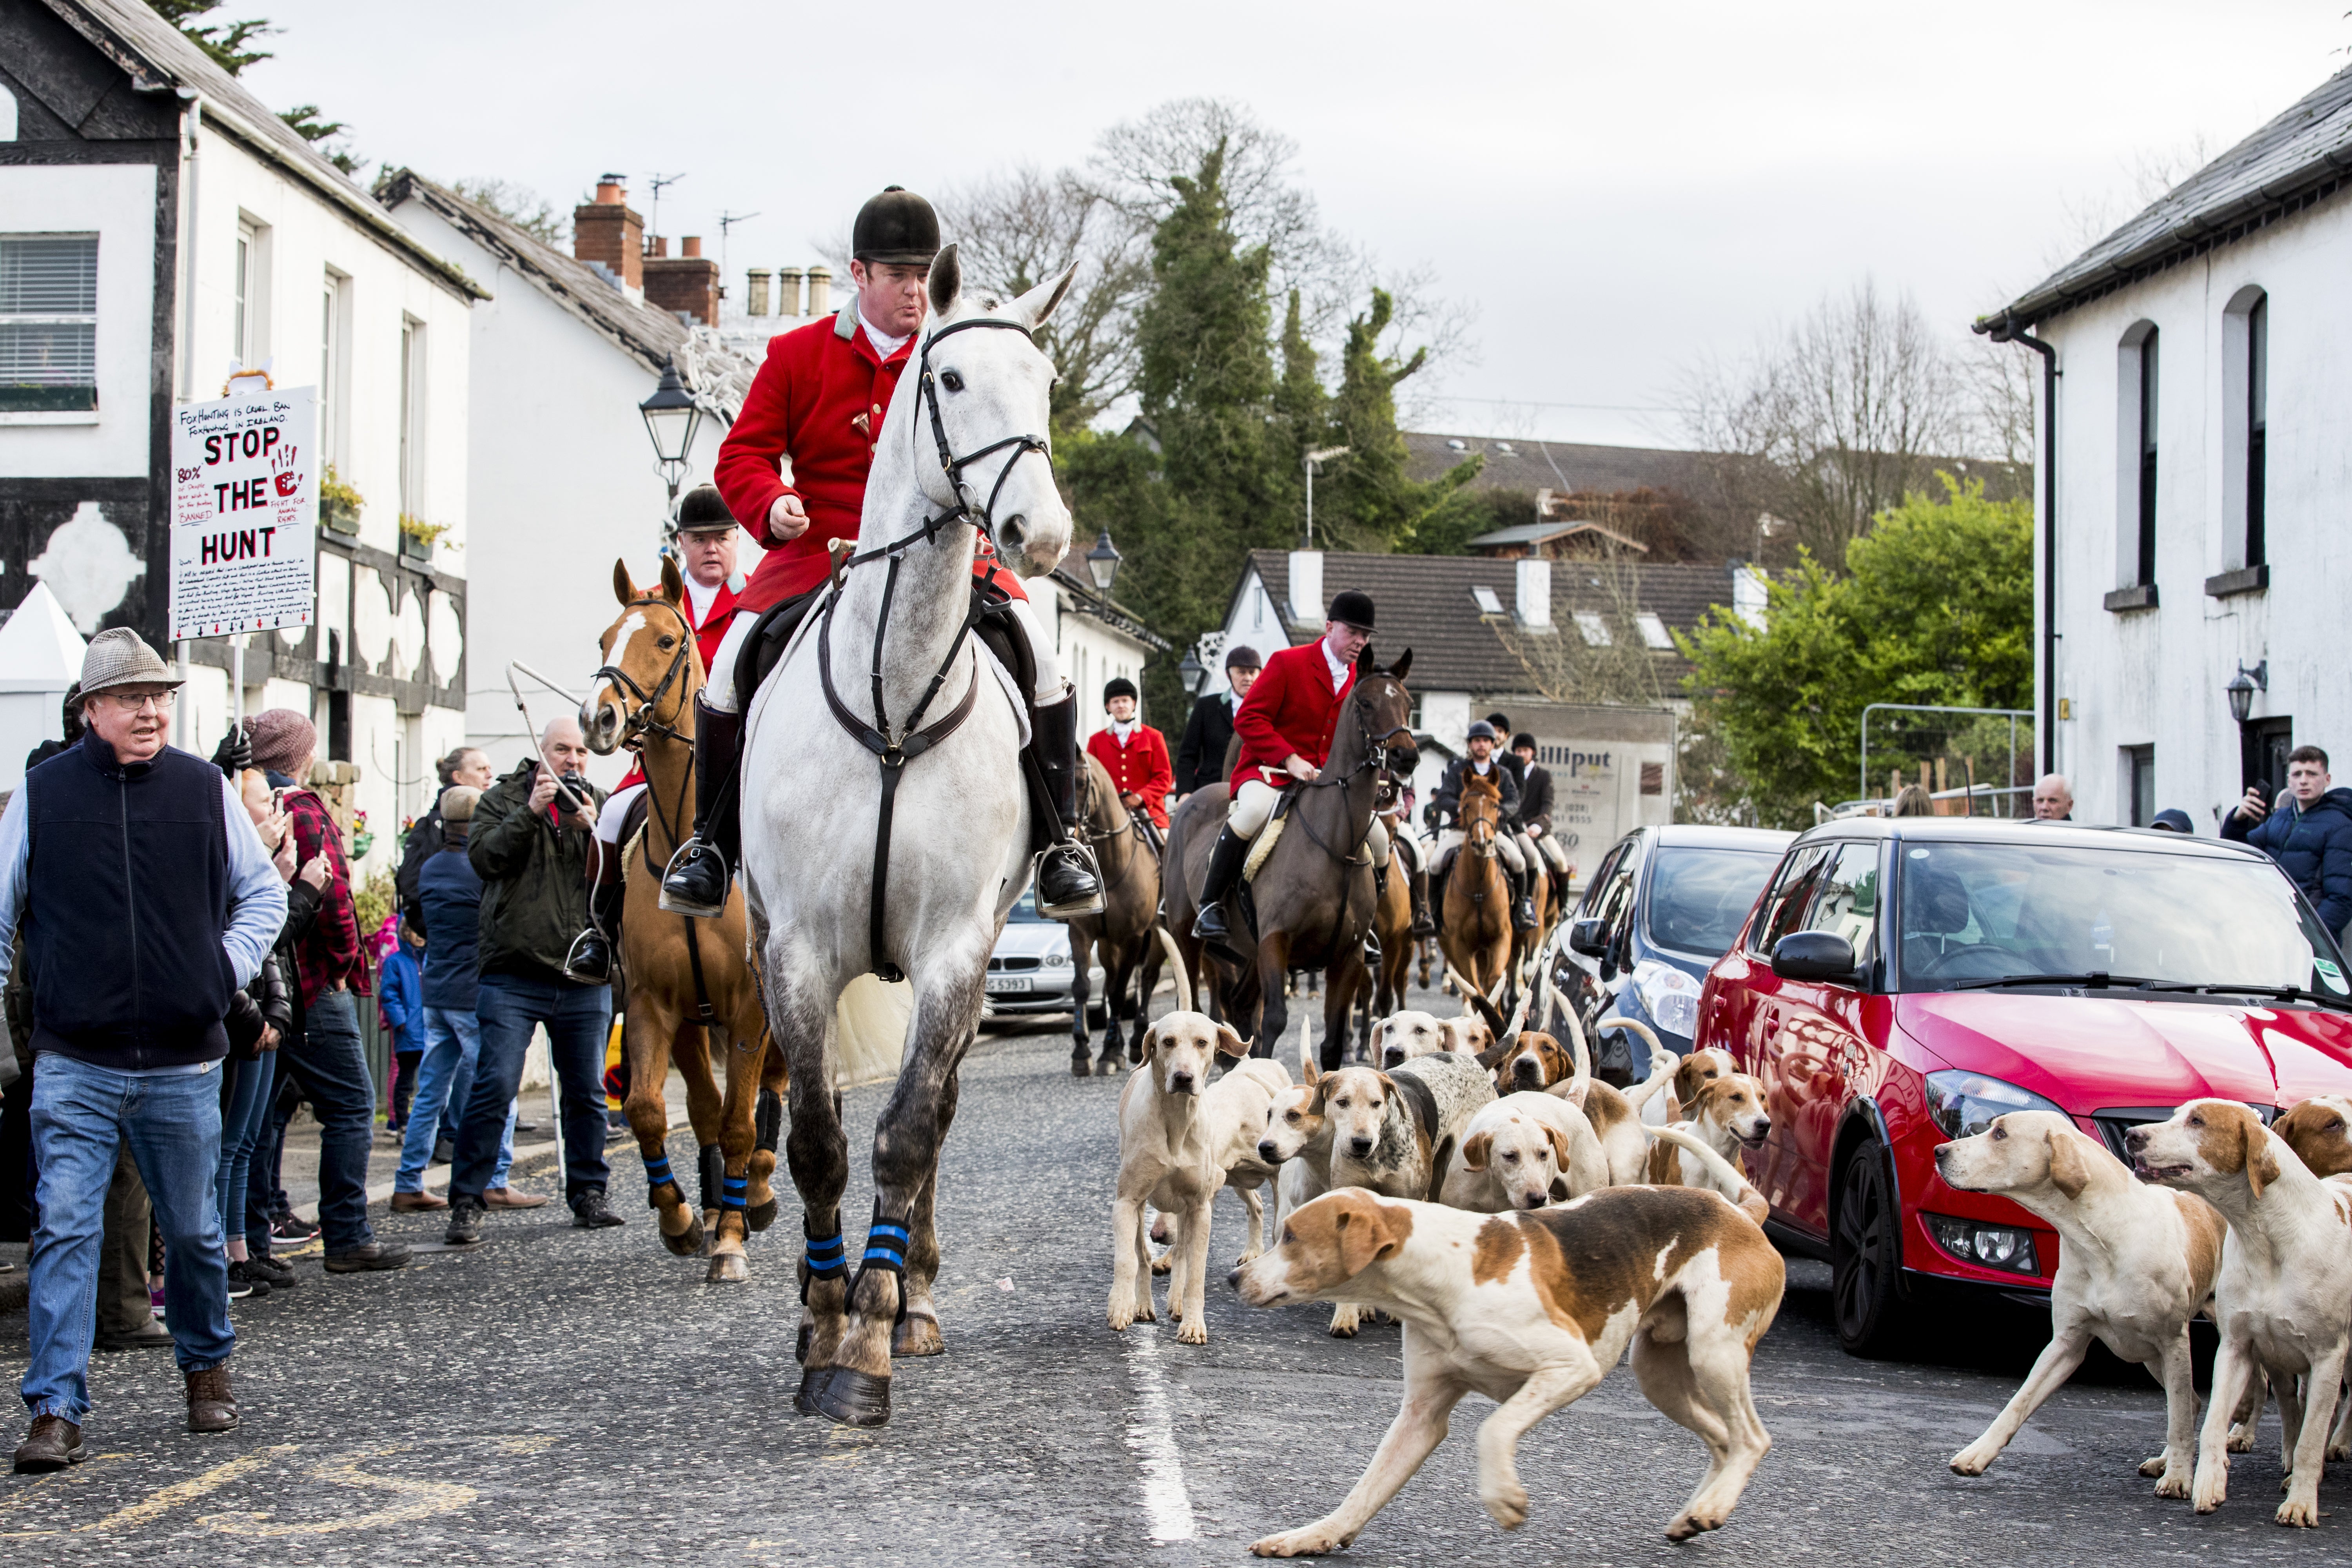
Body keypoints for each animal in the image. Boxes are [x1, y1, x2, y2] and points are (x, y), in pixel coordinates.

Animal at [579, 564, 790, 1288]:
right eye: (605, 638)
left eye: (668, 640)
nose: (598, 718)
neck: (694, 844)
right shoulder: (653, 1003)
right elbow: (649, 1110)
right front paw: (680, 1219)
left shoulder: (751, 1005)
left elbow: (740, 1123)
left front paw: (729, 1240)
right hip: (695, 1024)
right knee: (702, 1104)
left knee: (771, 1094)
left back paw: (755, 1193)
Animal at [1073, 752, 1171, 1072]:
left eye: (1081, 782)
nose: (1070, 833)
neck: (1109, 863)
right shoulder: (1081, 932)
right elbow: (1082, 986)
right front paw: (1082, 1051)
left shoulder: (1133, 937)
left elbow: (1117, 993)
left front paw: (1107, 1054)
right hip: (1109, 943)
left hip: (1157, 935)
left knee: (1148, 977)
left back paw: (1136, 1037)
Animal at [1162, 649, 1402, 1067]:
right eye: (1367, 703)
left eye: (1407, 703)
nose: (1408, 755)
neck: (1336, 843)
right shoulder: (1276, 941)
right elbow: (1274, 1019)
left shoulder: (1350, 957)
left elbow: (1332, 1042)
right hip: (1185, 934)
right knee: (1195, 1002)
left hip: (1249, 952)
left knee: (1240, 1005)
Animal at [1439, 771, 1515, 1006]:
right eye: (1466, 806)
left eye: (1495, 805)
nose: (1483, 844)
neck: (1479, 890)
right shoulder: (1460, 945)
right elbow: (1476, 989)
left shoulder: (1502, 937)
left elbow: (1493, 981)